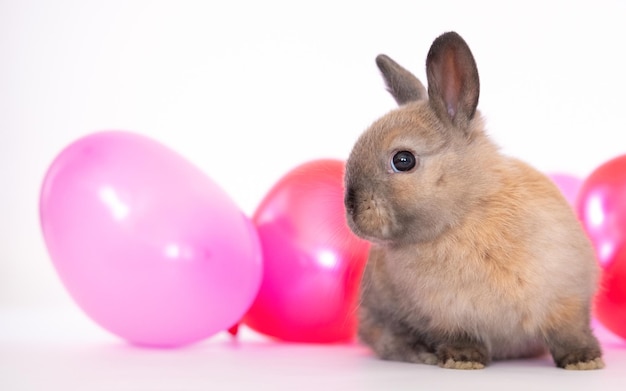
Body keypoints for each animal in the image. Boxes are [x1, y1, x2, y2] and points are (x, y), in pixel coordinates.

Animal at [344, 31, 604, 370]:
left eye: (403, 160)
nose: (350, 208)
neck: (465, 215)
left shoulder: (567, 297)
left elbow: (569, 332)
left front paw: (584, 360)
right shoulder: (448, 316)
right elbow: (460, 336)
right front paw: (463, 360)